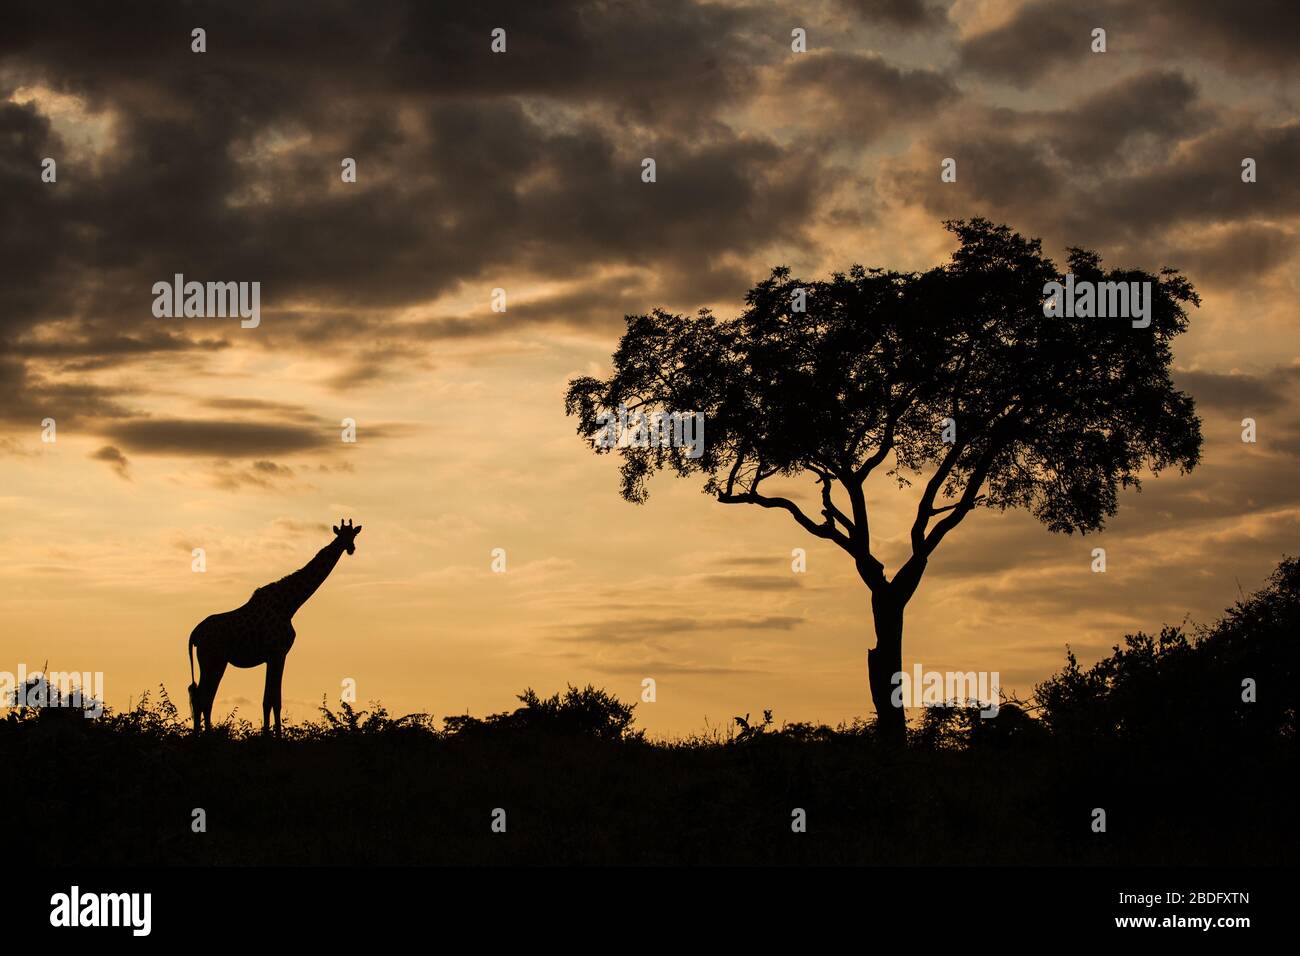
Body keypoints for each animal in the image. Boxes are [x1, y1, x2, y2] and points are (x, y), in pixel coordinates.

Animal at [187, 520, 361, 738]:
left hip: (214, 662)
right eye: (341, 535)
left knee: (202, 697)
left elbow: (269, 699)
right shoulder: (277, 653)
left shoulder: (274, 656)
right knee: (202, 697)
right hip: (212, 660)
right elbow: (274, 700)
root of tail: (194, 634)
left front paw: (269, 734)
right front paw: (275, 736)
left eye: (353, 535)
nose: (351, 548)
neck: (289, 605)